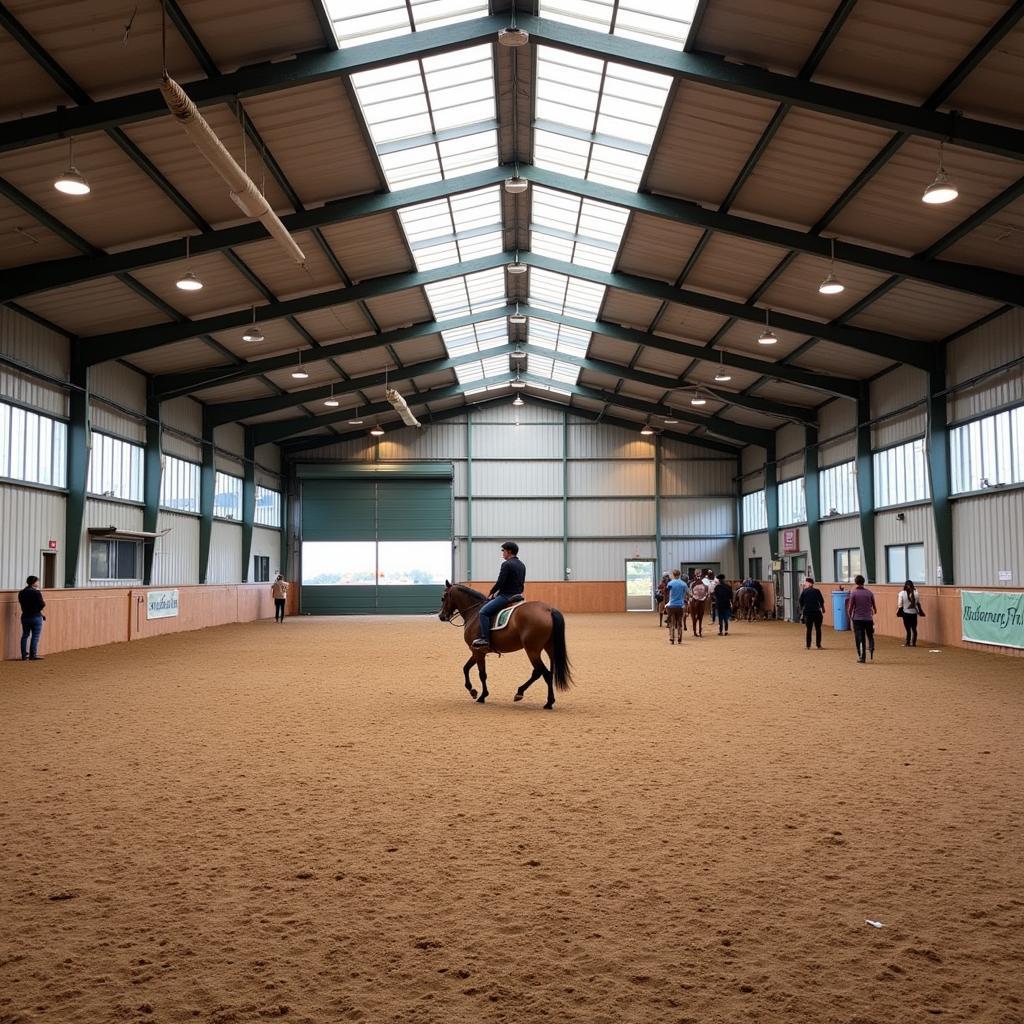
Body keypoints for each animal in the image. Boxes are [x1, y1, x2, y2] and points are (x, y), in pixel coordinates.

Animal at [436, 585, 573, 712]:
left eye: (443, 597)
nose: (441, 616)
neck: (474, 612)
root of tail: (548, 610)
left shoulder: (477, 651)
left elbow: (481, 674)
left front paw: (481, 695)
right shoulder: (477, 652)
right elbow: (466, 668)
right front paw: (473, 691)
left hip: (532, 651)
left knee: (541, 672)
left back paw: (527, 695)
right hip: (549, 649)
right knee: (547, 673)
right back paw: (545, 700)